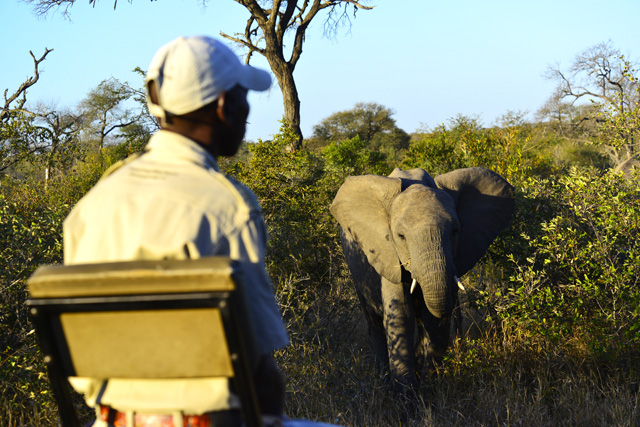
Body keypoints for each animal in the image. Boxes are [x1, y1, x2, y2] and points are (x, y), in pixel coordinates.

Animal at [330, 167, 515, 389]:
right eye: (400, 236)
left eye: (455, 231)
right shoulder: (388, 254)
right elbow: (400, 314)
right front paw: (405, 393)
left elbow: (433, 320)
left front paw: (428, 387)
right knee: (375, 324)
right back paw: (383, 379)